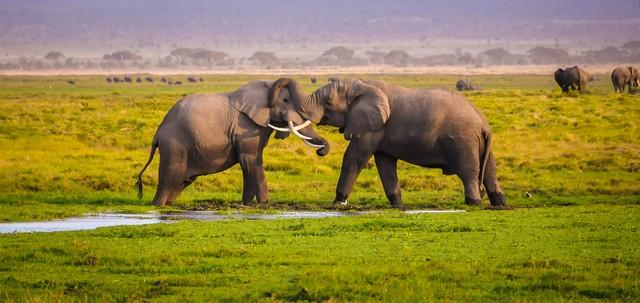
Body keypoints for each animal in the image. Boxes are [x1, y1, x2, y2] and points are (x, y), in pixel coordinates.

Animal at [136, 80, 330, 207]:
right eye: (285, 101)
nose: (321, 150)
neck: (265, 88)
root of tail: (158, 133)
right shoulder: (246, 127)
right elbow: (251, 160)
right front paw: (264, 204)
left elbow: (248, 164)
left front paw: (247, 204)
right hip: (174, 146)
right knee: (170, 177)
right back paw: (157, 205)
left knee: (181, 180)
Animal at [268, 78, 508, 209]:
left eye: (327, 103)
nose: (322, 150)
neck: (361, 84)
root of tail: (484, 125)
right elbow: (385, 165)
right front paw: (398, 204)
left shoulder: (372, 127)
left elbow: (354, 157)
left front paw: (338, 203)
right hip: (480, 144)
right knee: (490, 171)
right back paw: (500, 204)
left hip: (463, 141)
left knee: (468, 172)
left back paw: (473, 203)